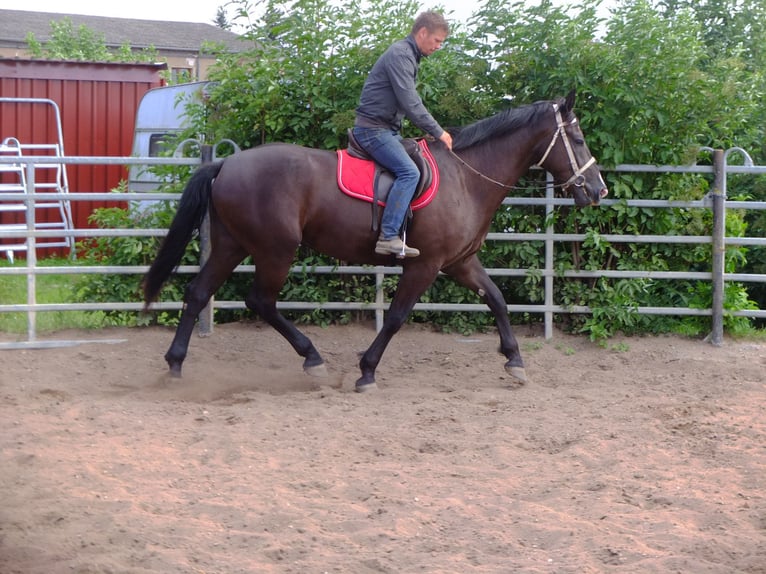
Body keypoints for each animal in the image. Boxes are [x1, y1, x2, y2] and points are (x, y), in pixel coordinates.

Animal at [144, 90, 608, 394]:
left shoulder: (461, 262)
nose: (598, 189)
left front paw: (514, 360)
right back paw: (312, 360)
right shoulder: (425, 265)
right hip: (275, 250)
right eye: (578, 138)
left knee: (198, 292)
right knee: (260, 301)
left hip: (231, 245)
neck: (465, 177)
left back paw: (175, 365)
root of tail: (225, 164)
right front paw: (366, 371)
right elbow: (398, 317)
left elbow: (496, 300)